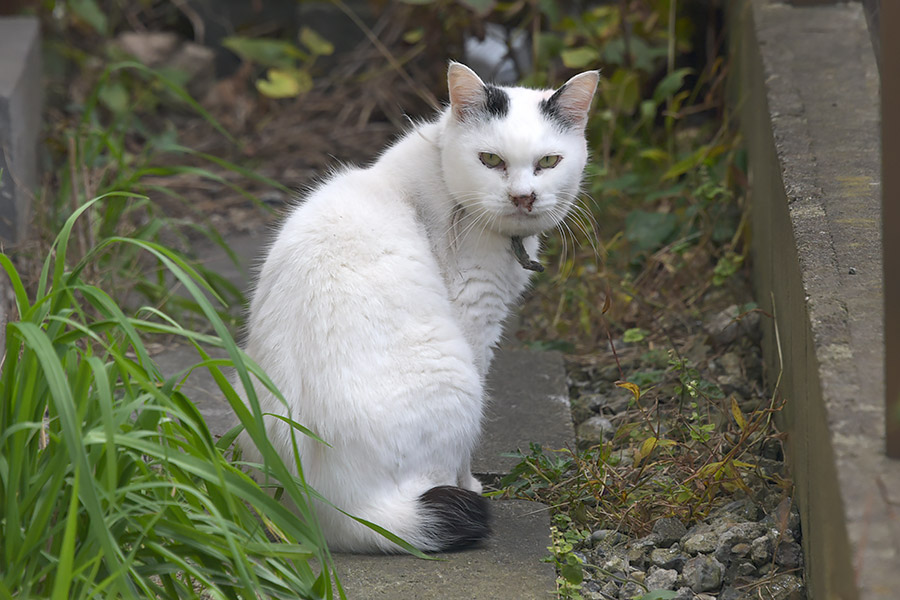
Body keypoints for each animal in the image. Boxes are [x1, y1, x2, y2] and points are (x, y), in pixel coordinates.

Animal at [237, 62, 596, 552]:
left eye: (548, 162)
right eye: (490, 161)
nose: (523, 196)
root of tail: (332, 511)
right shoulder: (476, 321)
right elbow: (465, 462)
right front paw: (471, 481)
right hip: (460, 380)